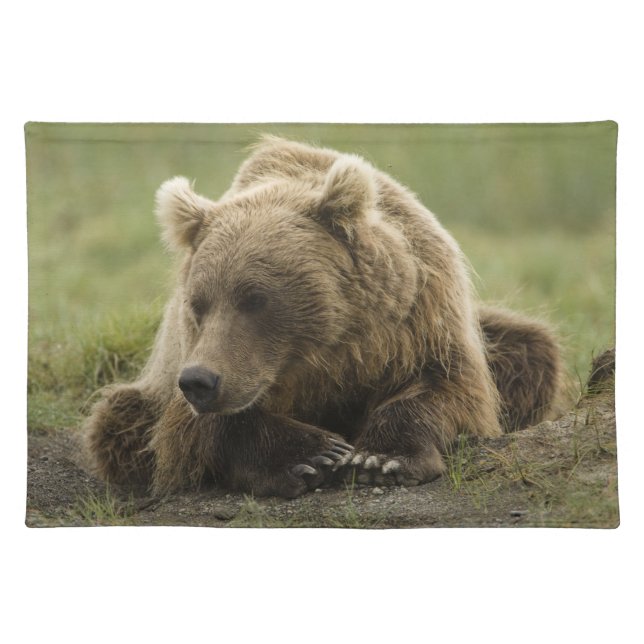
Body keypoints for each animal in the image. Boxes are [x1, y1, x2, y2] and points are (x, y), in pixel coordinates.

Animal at [83, 135, 562, 498]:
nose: (200, 381)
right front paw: (311, 455)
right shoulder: (190, 364)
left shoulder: (420, 320)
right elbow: (190, 431)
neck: (326, 354)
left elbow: (450, 389)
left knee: (531, 349)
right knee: (118, 419)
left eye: (254, 299)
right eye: (198, 303)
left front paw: (381, 458)